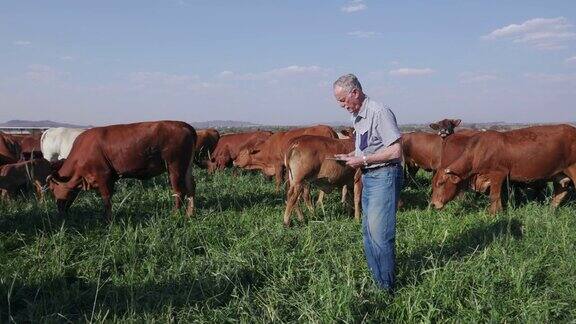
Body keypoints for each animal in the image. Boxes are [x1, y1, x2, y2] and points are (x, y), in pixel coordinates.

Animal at [46, 121, 198, 220]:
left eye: (52, 189)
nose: (59, 212)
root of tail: (183, 125)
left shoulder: (103, 175)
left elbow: (106, 199)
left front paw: (108, 220)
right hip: (186, 167)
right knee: (191, 187)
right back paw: (190, 214)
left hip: (175, 166)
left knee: (179, 191)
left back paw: (175, 215)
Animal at [432, 125, 576, 214]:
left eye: (441, 183)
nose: (433, 204)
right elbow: (499, 196)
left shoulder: (498, 174)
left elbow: (494, 196)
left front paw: (492, 214)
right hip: (560, 174)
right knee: (560, 193)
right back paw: (550, 211)